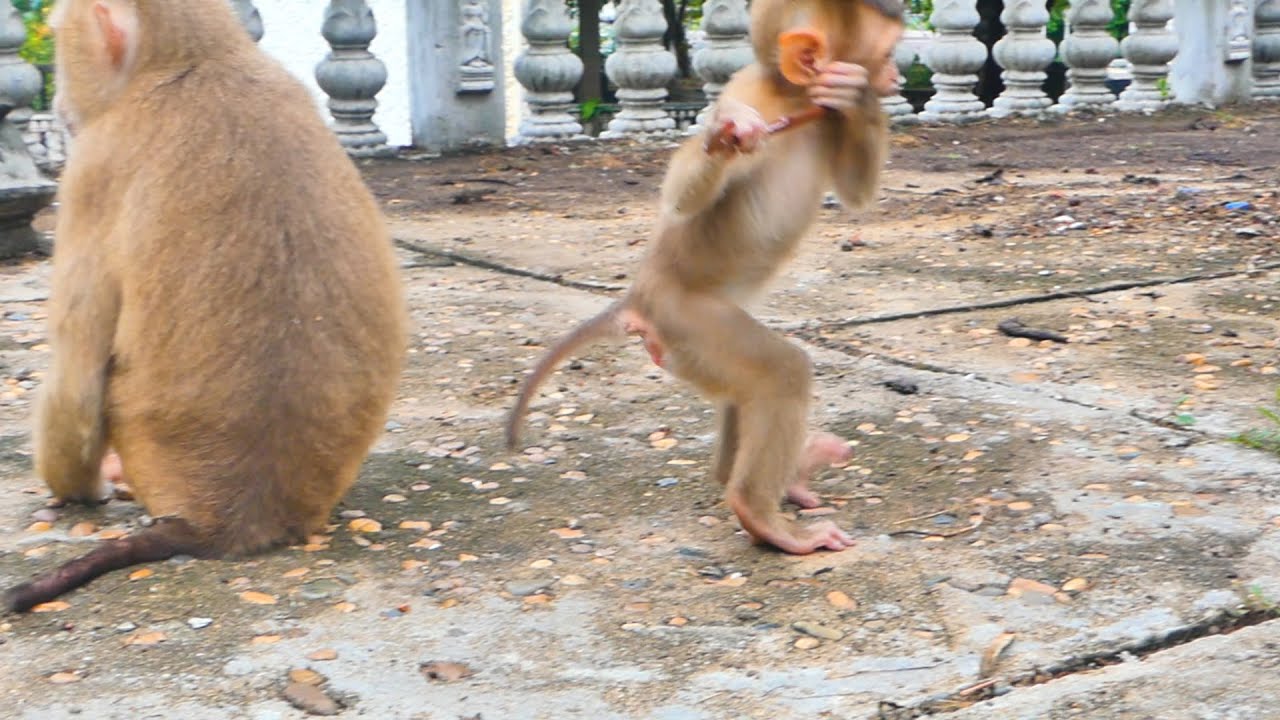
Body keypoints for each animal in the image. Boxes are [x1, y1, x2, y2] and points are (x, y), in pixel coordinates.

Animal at [3, 0, 407, 613]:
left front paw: (80, 490)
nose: (58, 103)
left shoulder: (94, 167)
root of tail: (228, 520)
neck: (197, 61)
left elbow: (76, 377)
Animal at [506, 0, 904, 555]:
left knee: (744, 394)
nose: (896, 75)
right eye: (887, 53)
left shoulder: (828, 121)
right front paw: (724, 133)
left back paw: (778, 482)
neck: (791, 95)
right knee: (780, 372)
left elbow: (856, 192)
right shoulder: (755, 99)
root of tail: (639, 295)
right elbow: (684, 196)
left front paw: (855, 96)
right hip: (687, 322)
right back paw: (761, 515)